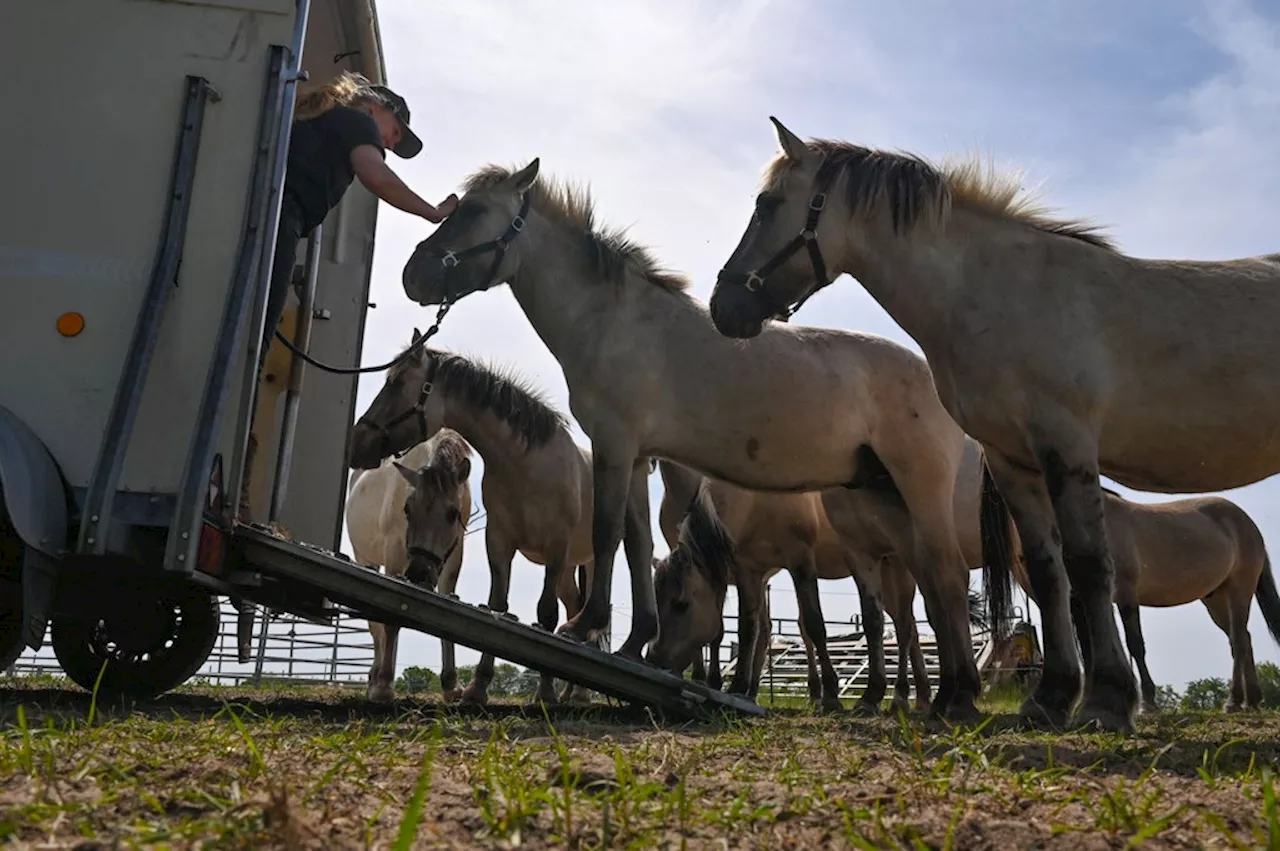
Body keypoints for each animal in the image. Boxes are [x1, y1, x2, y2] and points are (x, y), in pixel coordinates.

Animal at [345, 427, 471, 701]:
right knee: (376, 628)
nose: (419, 573)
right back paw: (375, 679)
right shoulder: (394, 553)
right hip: (365, 558)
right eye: (407, 509)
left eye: (453, 514)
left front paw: (451, 685)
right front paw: (383, 686)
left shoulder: (452, 555)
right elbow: (391, 619)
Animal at [396, 157, 998, 716]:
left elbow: (608, 533)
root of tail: (929, 372)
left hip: (918, 491)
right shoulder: (638, 457)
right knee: (930, 589)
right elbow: (637, 543)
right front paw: (636, 640)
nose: (412, 275)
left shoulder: (616, 445)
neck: (614, 320)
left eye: (474, 211)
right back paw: (943, 694)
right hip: (890, 500)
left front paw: (586, 625)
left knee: (943, 578)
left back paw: (957, 698)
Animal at [706, 117, 1280, 731]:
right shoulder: (1013, 462)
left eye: (767, 204)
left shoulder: (1068, 449)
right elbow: (1051, 573)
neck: (1003, 296)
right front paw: (1051, 697)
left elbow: (1087, 566)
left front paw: (1106, 699)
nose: (723, 306)